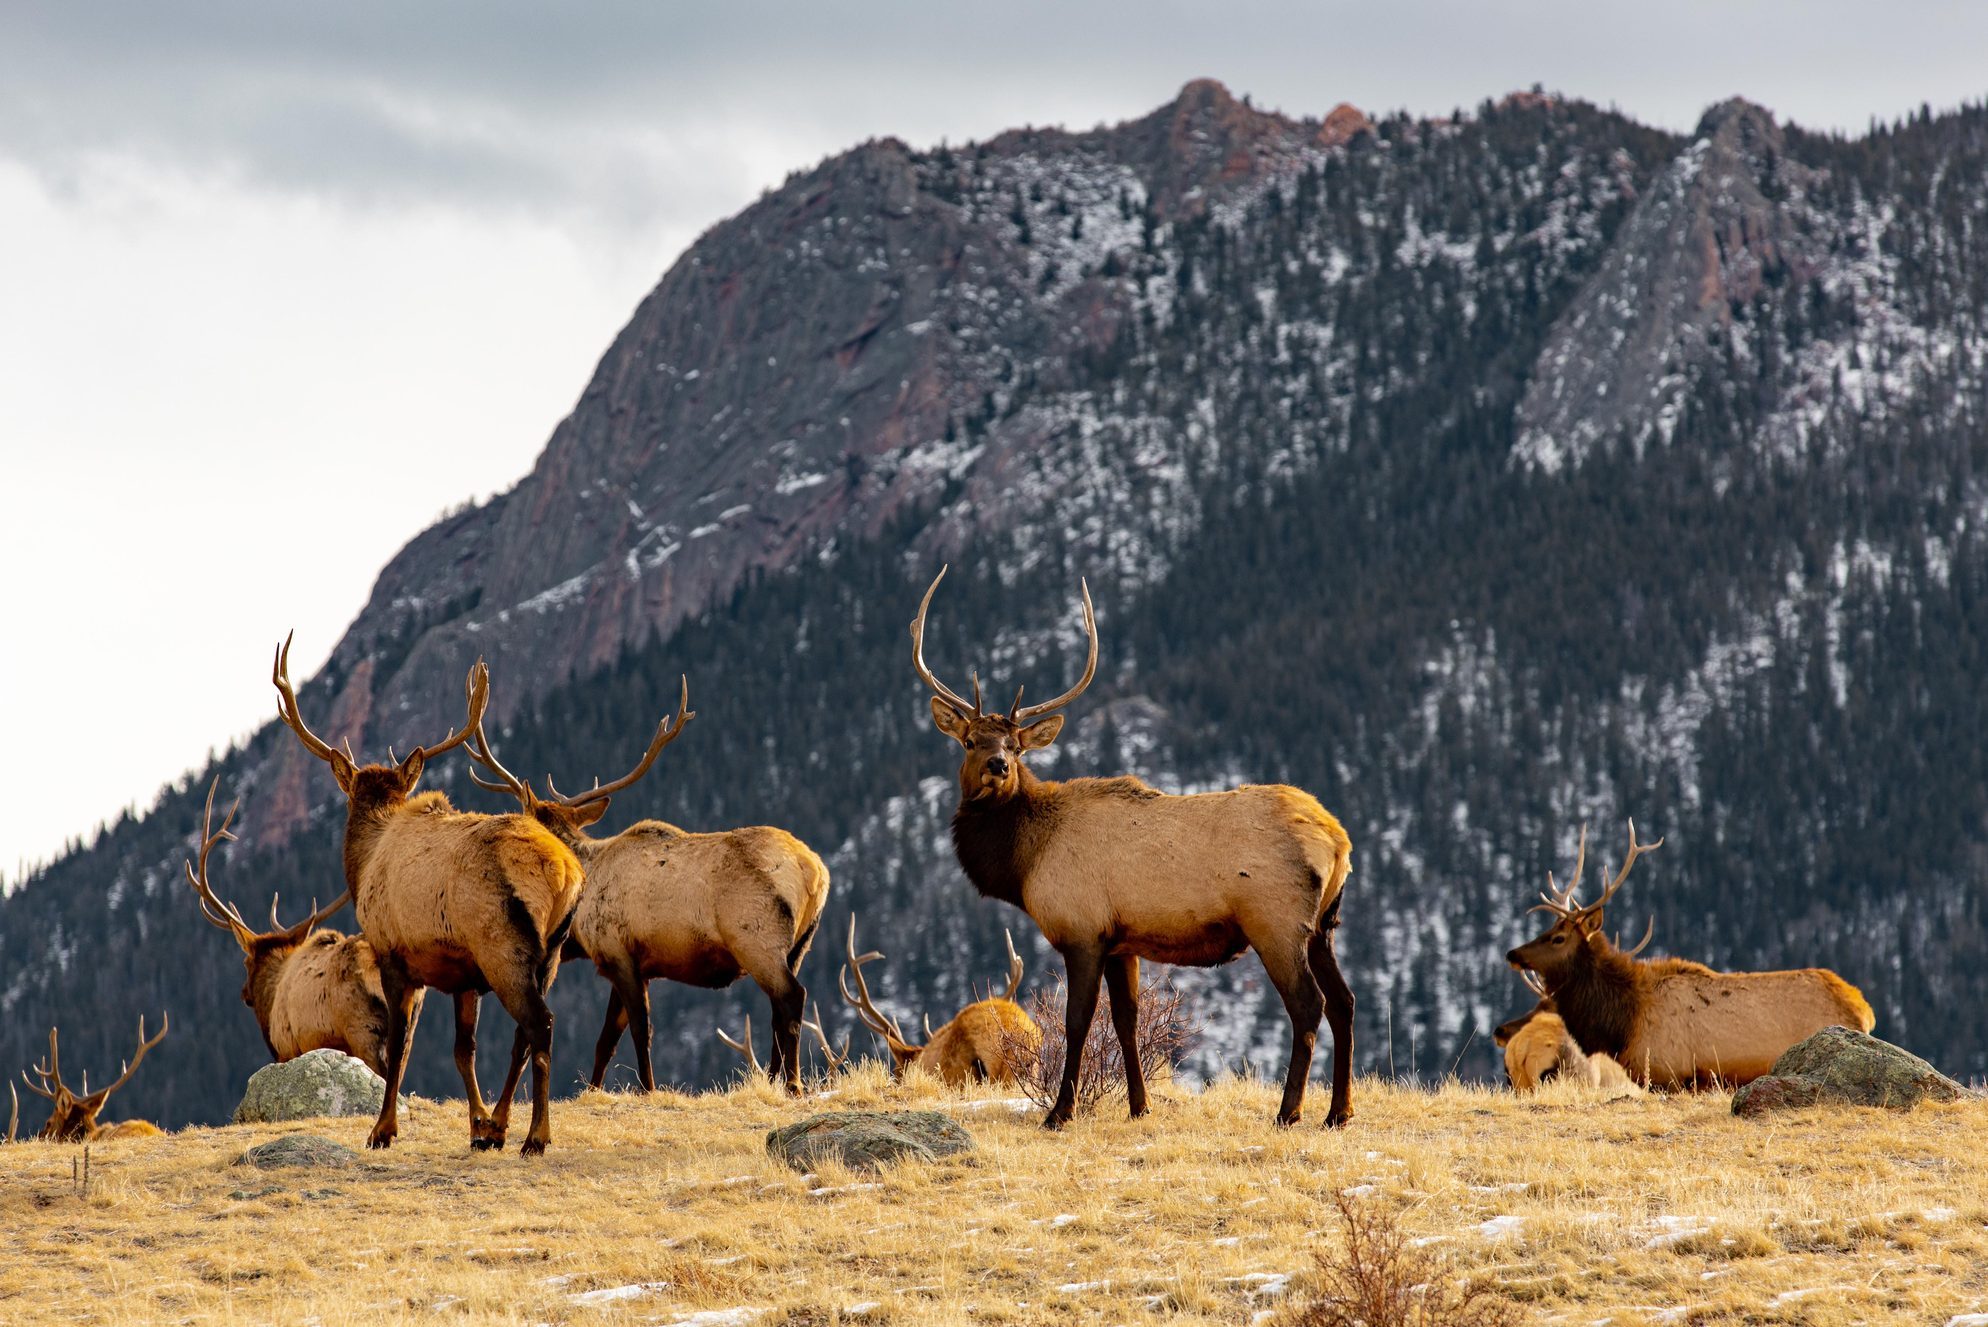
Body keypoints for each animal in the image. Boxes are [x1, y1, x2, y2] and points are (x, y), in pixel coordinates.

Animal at [273, 635, 585, 1155]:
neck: (365, 862)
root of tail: (565, 871)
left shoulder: (394, 954)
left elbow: (400, 1048)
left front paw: (382, 1130)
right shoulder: (462, 975)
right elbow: (463, 1050)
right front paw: (478, 1125)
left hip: (503, 943)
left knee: (540, 1024)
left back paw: (536, 1137)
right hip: (552, 953)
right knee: (525, 1034)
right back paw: (507, 1130)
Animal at [462, 678, 831, 1094]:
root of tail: (814, 871)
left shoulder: (618, 952)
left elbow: (639, 1030)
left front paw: (648, 1087)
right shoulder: (633, 963)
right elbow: (606, 1039)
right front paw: (593, 1089)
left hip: (756, 939)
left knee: (792, 998)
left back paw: (793, 1084)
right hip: (799, 945)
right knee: (778, 1010)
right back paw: (772, 1081)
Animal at [910, 566, 1356, 1128]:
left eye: (1015, 745)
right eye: (970, 741)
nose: (998, 765)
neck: (1024, 862)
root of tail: (1338, 838)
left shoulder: (1081, 930)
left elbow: (1077, 1021)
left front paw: (1059, 1112)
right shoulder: (1122, 941)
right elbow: (1126, 1019)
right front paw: (1139, 1107)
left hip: (1276, 922)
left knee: (1308, 1005)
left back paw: (1289, 1111)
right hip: (1324, 925)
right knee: (1345, 1002)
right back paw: (1339, 1112)